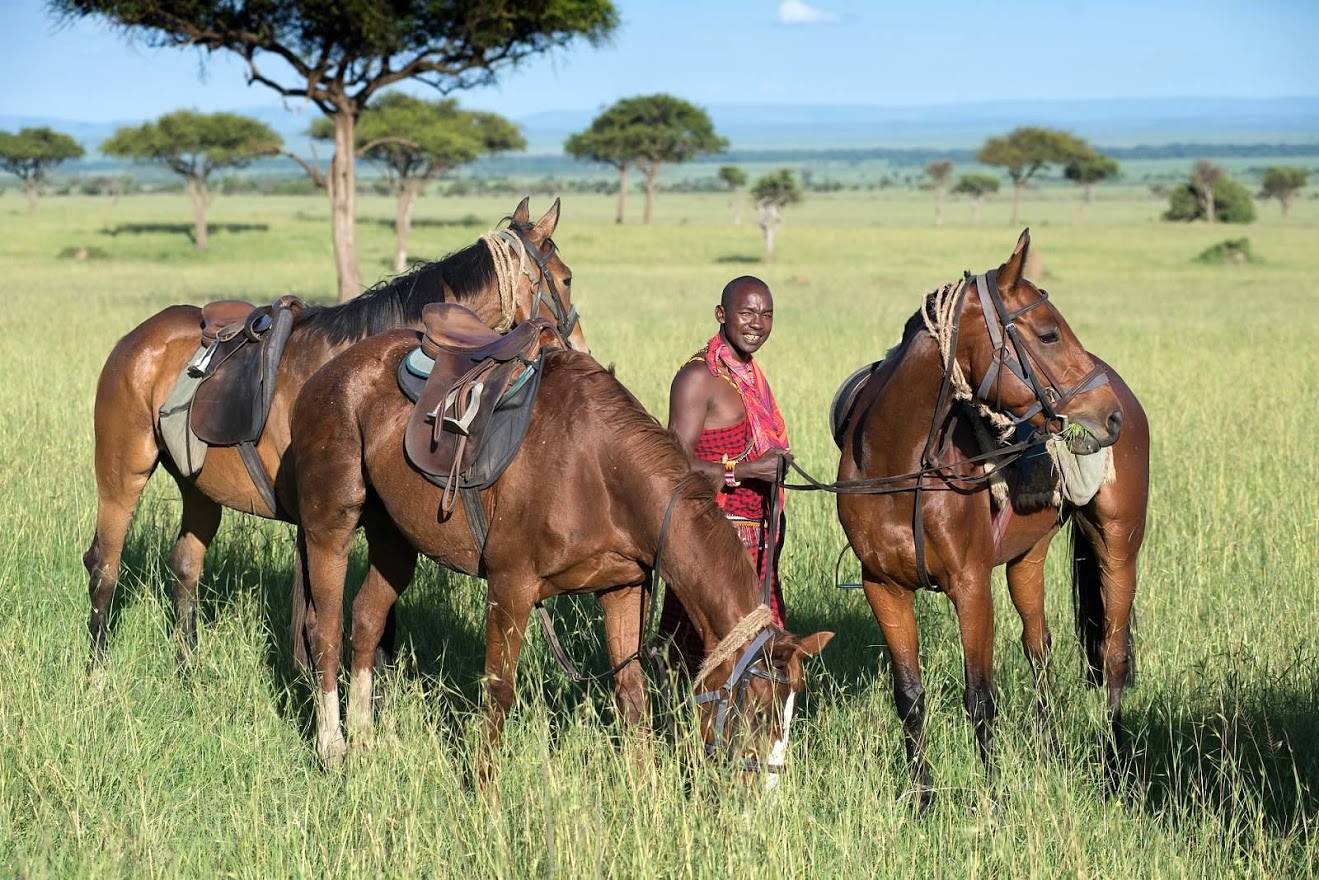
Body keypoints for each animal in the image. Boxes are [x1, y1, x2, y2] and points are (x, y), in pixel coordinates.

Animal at [84, 198, 586, 668]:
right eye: (565, 279)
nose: (580, 349)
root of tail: (135, 340)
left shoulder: (381, 525)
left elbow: (379, 628)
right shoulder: (320, 522)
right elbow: (316, 624)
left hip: (199, 490)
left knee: (185, 568)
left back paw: (188, 671)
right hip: (122, 476)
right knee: (104, 566)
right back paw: (98, 672)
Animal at [286, 333, 834, 772]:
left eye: (793, 709)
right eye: (757, 708)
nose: (765, 785)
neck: (599, 469)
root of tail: (326, 373)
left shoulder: (622, 588)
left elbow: (631, 692)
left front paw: (644, 791)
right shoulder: (510, 585)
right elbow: (498, 690)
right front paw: (484, 793)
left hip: (395, 539)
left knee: (367, 617)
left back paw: (364, 740)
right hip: (330, 526)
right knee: (327, 627)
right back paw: (333, 746)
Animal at [832, 229, 1146, 807]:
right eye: (1048, 334)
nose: (1108, 415)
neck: (900, 467)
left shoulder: (971, 586)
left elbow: (980, 698)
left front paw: (993, 800)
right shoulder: (883, 587)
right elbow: (909, 695)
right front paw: (924, 799)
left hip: (1117, 544)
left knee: (1113, 656)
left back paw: (1114, 769)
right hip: (1028, 558)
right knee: (1040, 650)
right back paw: (1051, 749)